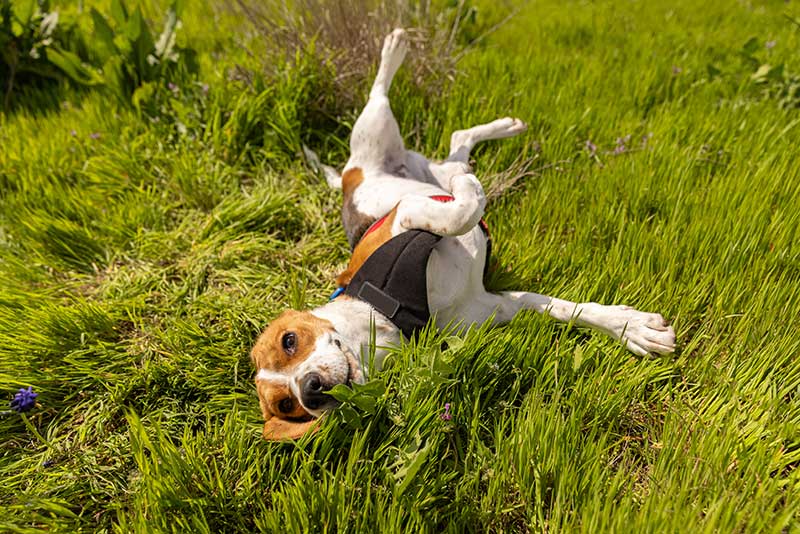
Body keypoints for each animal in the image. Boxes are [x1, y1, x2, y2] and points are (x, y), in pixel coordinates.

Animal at [250, 27, 676, 442]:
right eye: (288, 406)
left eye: (290, 340)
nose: (310, 390)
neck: (388, 312)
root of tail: (347, 179)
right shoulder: (502, 305)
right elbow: (565, 309)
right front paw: (633, 329)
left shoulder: (406, 214)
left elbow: (458, 213)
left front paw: (630, 327)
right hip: (425, 168)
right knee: (456, 145)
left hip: (376, 134)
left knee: (388, 99)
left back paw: (398, 53)